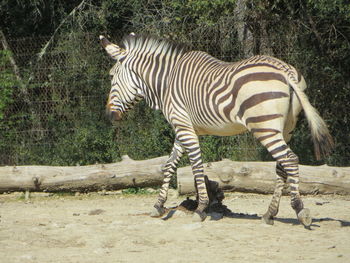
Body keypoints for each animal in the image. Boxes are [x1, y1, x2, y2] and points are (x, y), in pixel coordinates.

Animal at [99, 33, 334, 227]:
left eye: (111, 77)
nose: (109, 115)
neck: (167, 82)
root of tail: (286, 71)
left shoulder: (184, 128)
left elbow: (196, 167)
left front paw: (201, 208)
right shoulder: (182, 129)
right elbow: (168, 166)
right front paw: (158, 206)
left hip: (264, 127)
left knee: (290, 160)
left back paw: (300, 210)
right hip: (286, 129)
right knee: (281, 166)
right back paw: (269, 214)